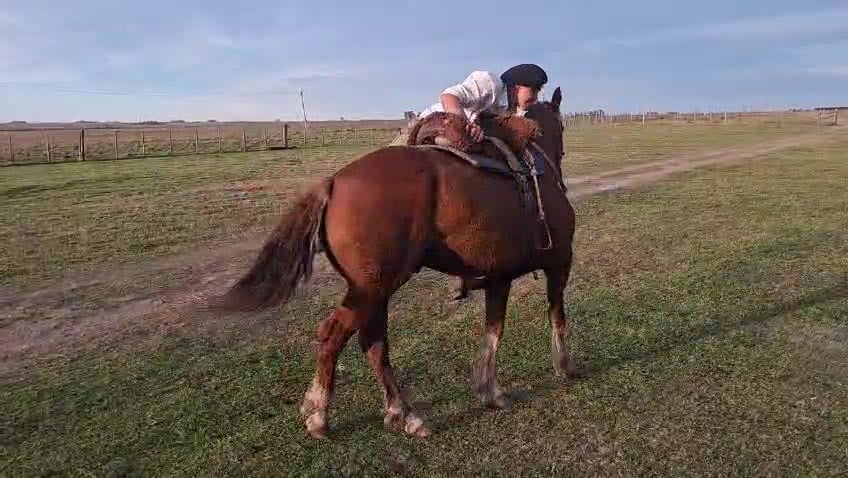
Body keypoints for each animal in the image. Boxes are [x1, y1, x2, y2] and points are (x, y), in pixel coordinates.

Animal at [217, 87, 583, 439]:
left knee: (373, 343)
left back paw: (401, 414)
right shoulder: (559, 262)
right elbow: (556, 315)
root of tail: (333, 183)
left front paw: (489, 390)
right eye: (561, 126)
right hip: (370, 289)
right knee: (336, 335)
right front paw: (564, 366)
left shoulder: (498, 277)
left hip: (374, 290)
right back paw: (322, 416)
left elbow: (493, 330)